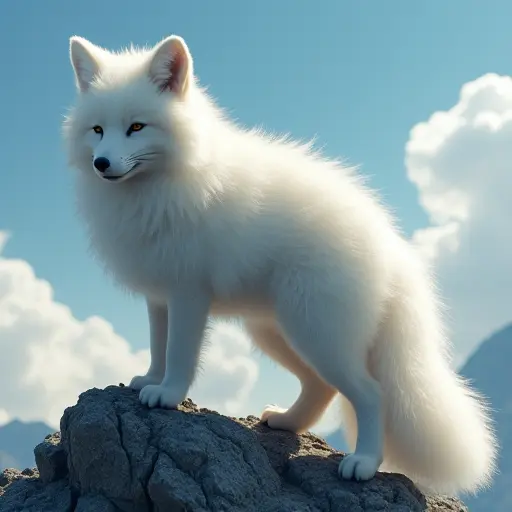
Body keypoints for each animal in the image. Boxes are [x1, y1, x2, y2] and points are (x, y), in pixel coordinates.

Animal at [64, 33, 496, 496]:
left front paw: (168, 394)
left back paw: (363, 462)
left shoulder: (188, 293)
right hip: (278, 330)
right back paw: (287, 421)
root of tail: (392, 246)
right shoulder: (159, 295)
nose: (102, 163)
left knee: (371, 392)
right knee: (322, 388)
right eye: (97, 130)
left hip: (316, 331)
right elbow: (158, 346)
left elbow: (179, 353)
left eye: (137, 127)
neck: (163, 183)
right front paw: (150, 380)